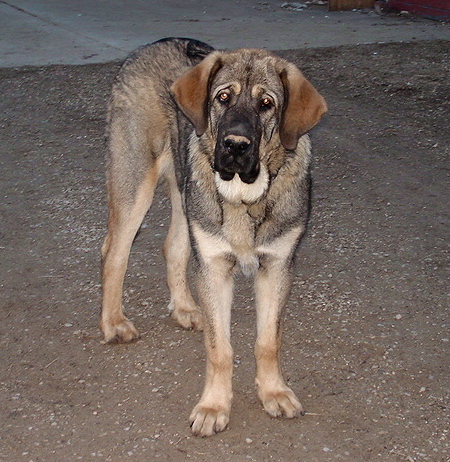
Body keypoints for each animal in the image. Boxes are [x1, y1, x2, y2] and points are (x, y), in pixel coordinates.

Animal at [101, 37, 326, 436]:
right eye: (223, 97)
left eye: (267, 103)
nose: (235, 145)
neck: (245, 196)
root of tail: (151, 45)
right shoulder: (216, 267)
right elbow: (220, 349)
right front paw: (214, 406)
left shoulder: (277, 267)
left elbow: (268, 341)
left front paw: (274, 391)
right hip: (135, 181)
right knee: (113, 251)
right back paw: (113, 322)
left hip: (186, 193)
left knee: (173, 247)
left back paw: (185, 307)